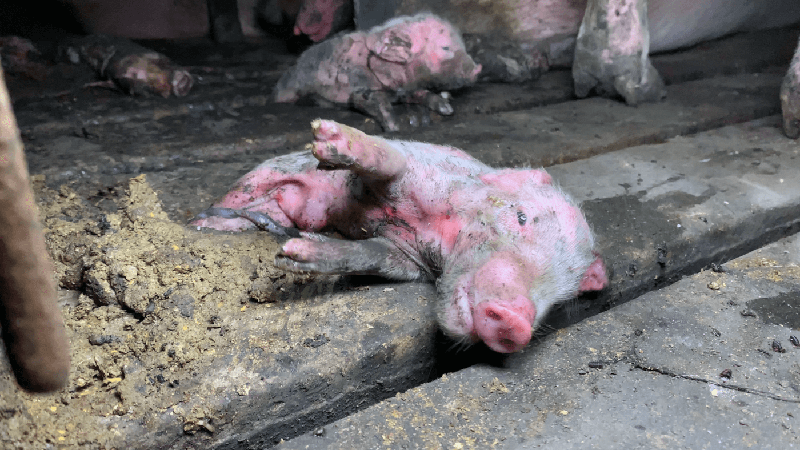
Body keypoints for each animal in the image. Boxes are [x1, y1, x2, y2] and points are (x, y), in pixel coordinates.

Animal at [191, 119, 608, 353]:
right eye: (520, 217)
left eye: (565, 286)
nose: (516, 321)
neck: (433, 229)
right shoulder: (419, 170)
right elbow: (390, 159)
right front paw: (333, 139)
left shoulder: (403, 257)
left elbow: (368, 256)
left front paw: (295, 253)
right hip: (264, 172)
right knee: (238, 195)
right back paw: (207, 224)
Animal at [273, 14, 482, 132]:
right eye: (445, 47)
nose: (477, 69)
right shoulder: (359, 87)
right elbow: (373, 101)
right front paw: (395, 128)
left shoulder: (406, 89)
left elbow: (423, 94)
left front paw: (446, 109)